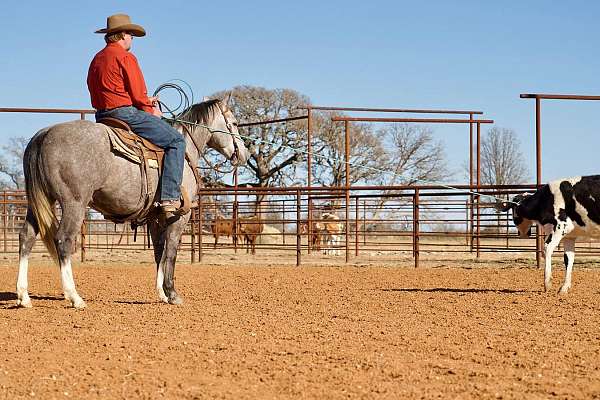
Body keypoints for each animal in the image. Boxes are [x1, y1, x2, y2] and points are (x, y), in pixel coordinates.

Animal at [16, 97, 247, 310]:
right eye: (235, 123)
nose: (244, 154)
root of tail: (43, 135)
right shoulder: (179, 216)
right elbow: (171, 250)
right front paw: (172, 293)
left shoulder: (155, 217)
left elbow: (159, 251)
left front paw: (161, 293)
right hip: (74, 203)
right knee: (63, 240)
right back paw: (75, 297)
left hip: (38, 202)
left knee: (27, 236)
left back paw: (23, 296)